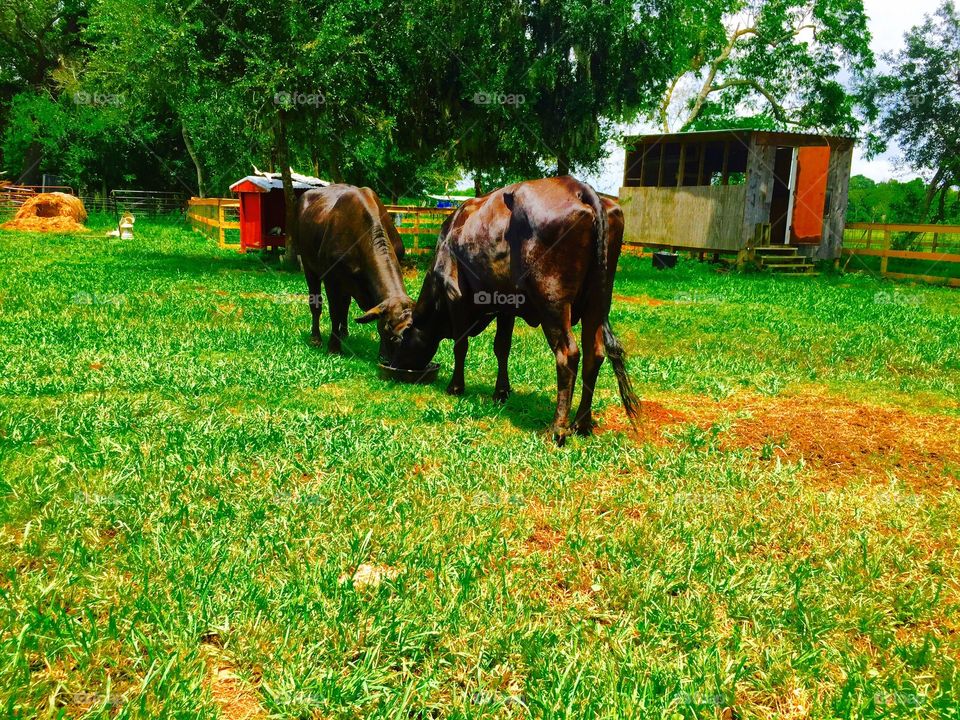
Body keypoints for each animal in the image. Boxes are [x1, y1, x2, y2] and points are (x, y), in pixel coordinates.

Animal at [298, 185, 413, 359]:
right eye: (389, 328)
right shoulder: (332, 279)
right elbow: (334, 312)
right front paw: (334, 348)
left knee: (345, 304)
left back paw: (344, 333)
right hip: (308, 266)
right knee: (316, 304)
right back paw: (316, 338)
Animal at [389, 176, 639, 445]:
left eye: (400, 339)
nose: (393, 364)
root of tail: (576, 186)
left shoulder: (456, 296)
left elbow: (460, 344)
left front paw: (455, 387)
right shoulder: (505, 306)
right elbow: (502, 347)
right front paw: (501, 391)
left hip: (553, 301)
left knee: (568, 354)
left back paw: (557, 429)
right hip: (597, 300)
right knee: (595, 354)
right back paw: (581, 424)